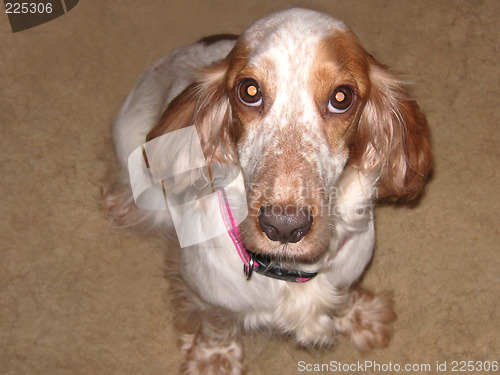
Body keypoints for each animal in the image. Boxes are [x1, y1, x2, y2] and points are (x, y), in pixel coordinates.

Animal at [101, 7, 430, 374]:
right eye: (249, 91)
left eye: (341, 97)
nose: (284, 226)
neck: (292, 272)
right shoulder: (208, 297)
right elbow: (217, 327)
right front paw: (215, 360)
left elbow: (343, 297)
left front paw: (361, 318)